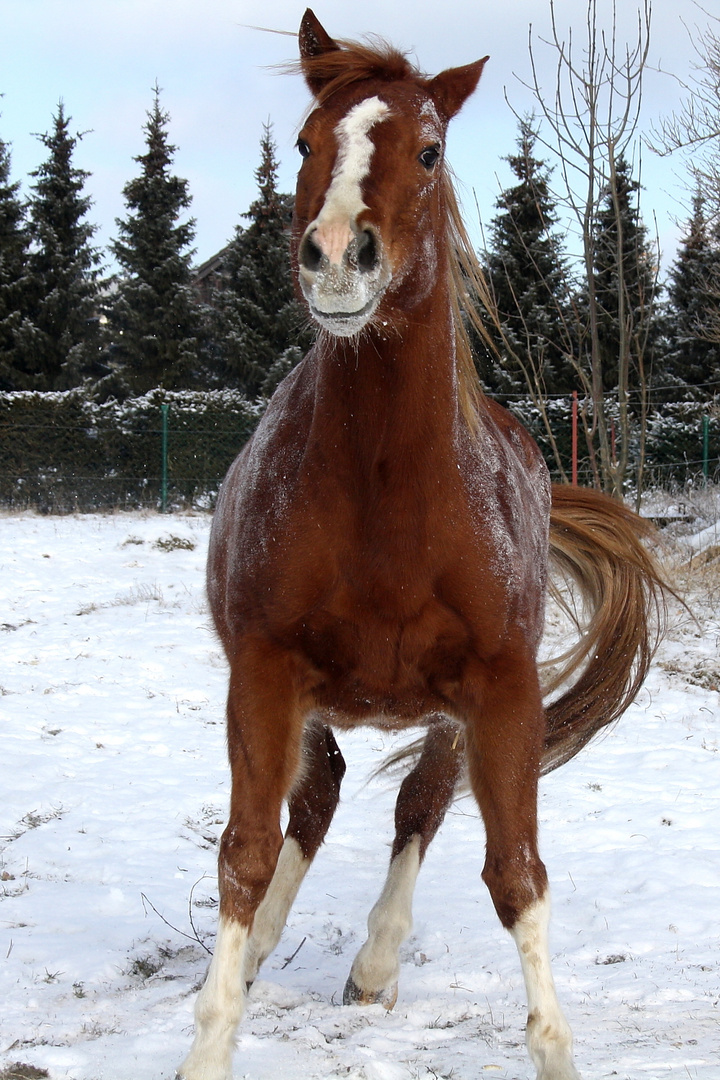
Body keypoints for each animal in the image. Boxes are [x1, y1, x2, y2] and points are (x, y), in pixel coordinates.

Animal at [179, 10, 664, 1080]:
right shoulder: (264, 672)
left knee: (417, 808)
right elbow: (245, 851)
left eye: (432, 152)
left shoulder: (501, 690)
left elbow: (515, 872)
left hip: (444, 717)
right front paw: (211, 1037)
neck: (390, 502)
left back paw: (374, 965)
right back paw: (271, 944)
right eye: (306, 143)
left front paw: (553, 1048)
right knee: (315, 803)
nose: (335, 258)